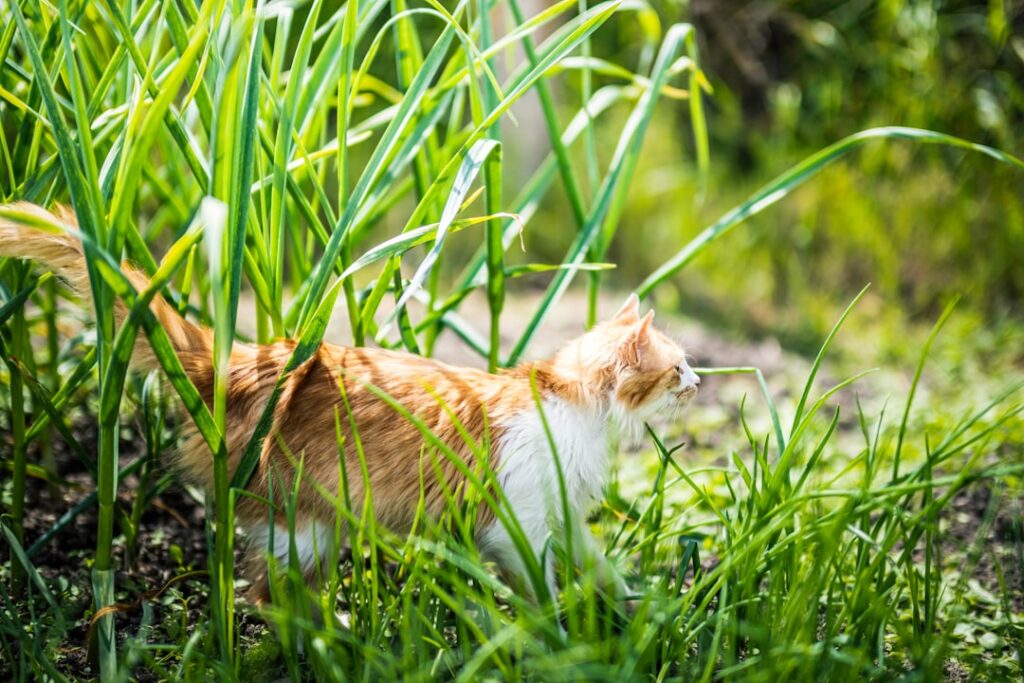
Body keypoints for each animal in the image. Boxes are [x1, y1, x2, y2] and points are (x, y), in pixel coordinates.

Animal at [0, 202, 700, 608]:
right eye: (677, 367)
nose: (699, 382)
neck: (570, 406)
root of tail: (248, 358)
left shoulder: (564, 517)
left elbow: (599, 567)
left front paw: (635, 606)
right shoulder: (515, 522)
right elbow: (538, 586)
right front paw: (550, 632)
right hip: (305, 524)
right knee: (264, 598)